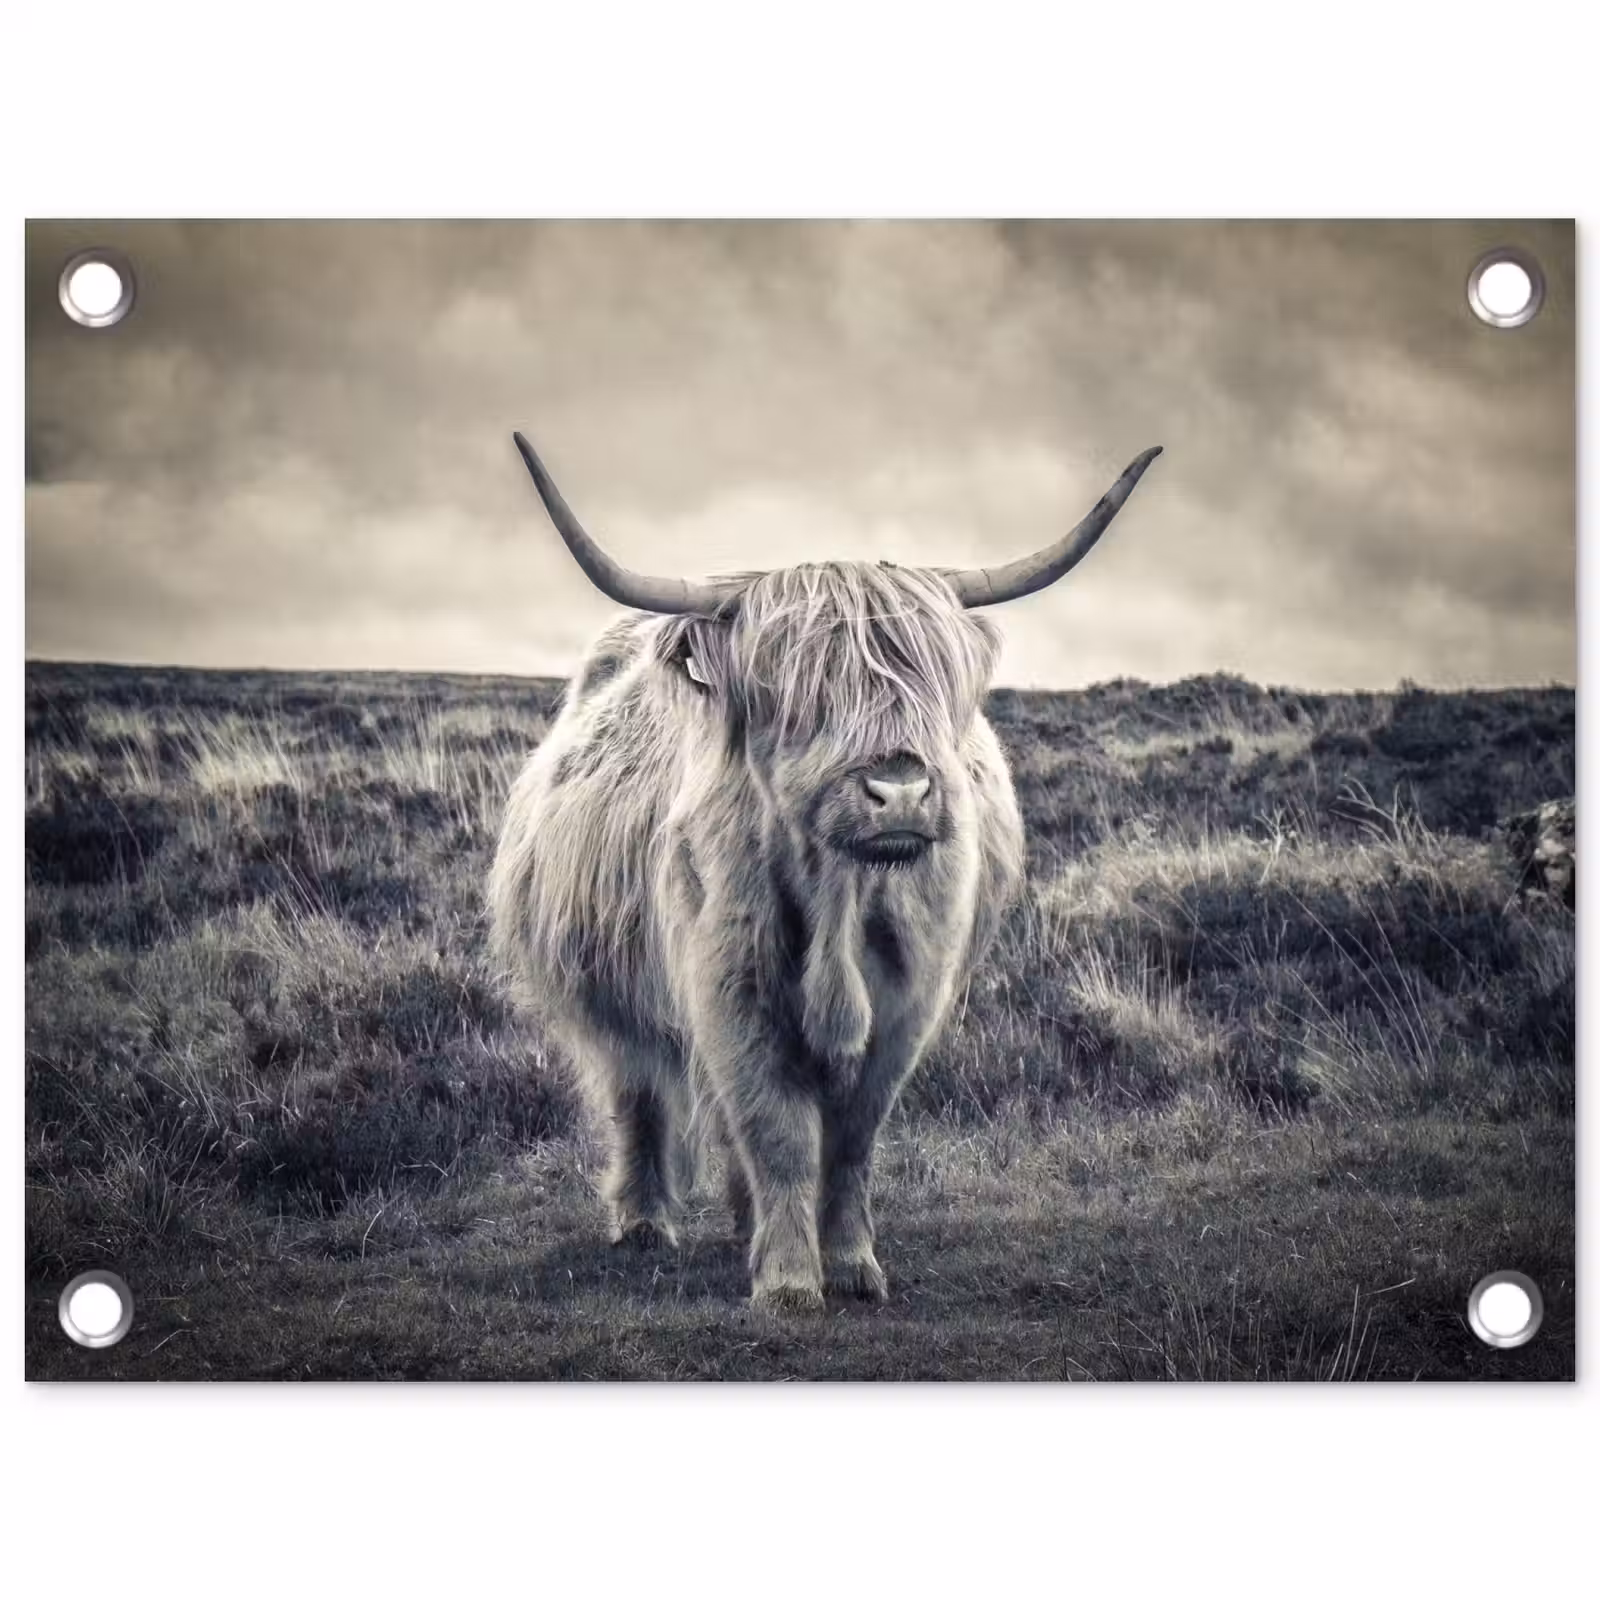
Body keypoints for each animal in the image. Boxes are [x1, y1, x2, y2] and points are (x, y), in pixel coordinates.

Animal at [488, 431, 1161, 1310]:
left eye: (931, 683)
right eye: (796, 693)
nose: (900, 790)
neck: (841, 898)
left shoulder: (908, 1002)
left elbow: (850, 1138)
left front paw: (849, 1264)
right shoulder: (730, 989)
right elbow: (775, 1129)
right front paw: (787, 1281)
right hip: (608, 990)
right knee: (638, 1092)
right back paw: (643, 1222)